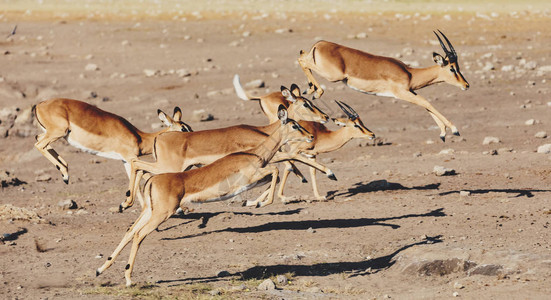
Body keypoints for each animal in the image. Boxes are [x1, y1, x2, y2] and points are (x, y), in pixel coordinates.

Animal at [33, 98, 192, 189]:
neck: (139, 137)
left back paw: (64, 169)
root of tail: (39, 105)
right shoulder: (130, 158)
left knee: (38, 138)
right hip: (59, 132)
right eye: (183, 129)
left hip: (53, 133)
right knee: (39, 145)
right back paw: (65, 175)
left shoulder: (126, 161)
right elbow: (146, 176)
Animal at [97, 106, 316, 286]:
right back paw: (128, 279)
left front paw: (254, 202)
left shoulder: (259, 179)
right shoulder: (251, 177)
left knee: (130, 230)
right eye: (295, 125)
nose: (311, 137)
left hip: (150, 211)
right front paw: (259, 204)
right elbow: (276, 171)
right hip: (161, 214)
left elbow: (275, 176)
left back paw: (101, 269)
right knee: (139, 235)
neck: (254, 154)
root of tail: (154, 181)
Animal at [121, 85, 334, 211]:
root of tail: (160, 137)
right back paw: (126, 203)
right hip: (168, 167)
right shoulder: (271, 158)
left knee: (140, 168)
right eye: (306, 104)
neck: (262, 131)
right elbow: (294, 159)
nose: (325, 117)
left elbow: (290, 163)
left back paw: (127, 203)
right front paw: (330, 174)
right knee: (137, 165)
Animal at [298, 30, 470, 142]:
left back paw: (310, 89)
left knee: (302, 54)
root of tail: (320, 44)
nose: (466, 85)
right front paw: (454, 130)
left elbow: (426, 105)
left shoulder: (410, 92)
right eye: (452, 68)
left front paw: (443, 133)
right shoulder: (402, 93)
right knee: (302, 60)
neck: (410, 73)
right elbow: (425, 103)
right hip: (333, 76)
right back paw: (317, 92)